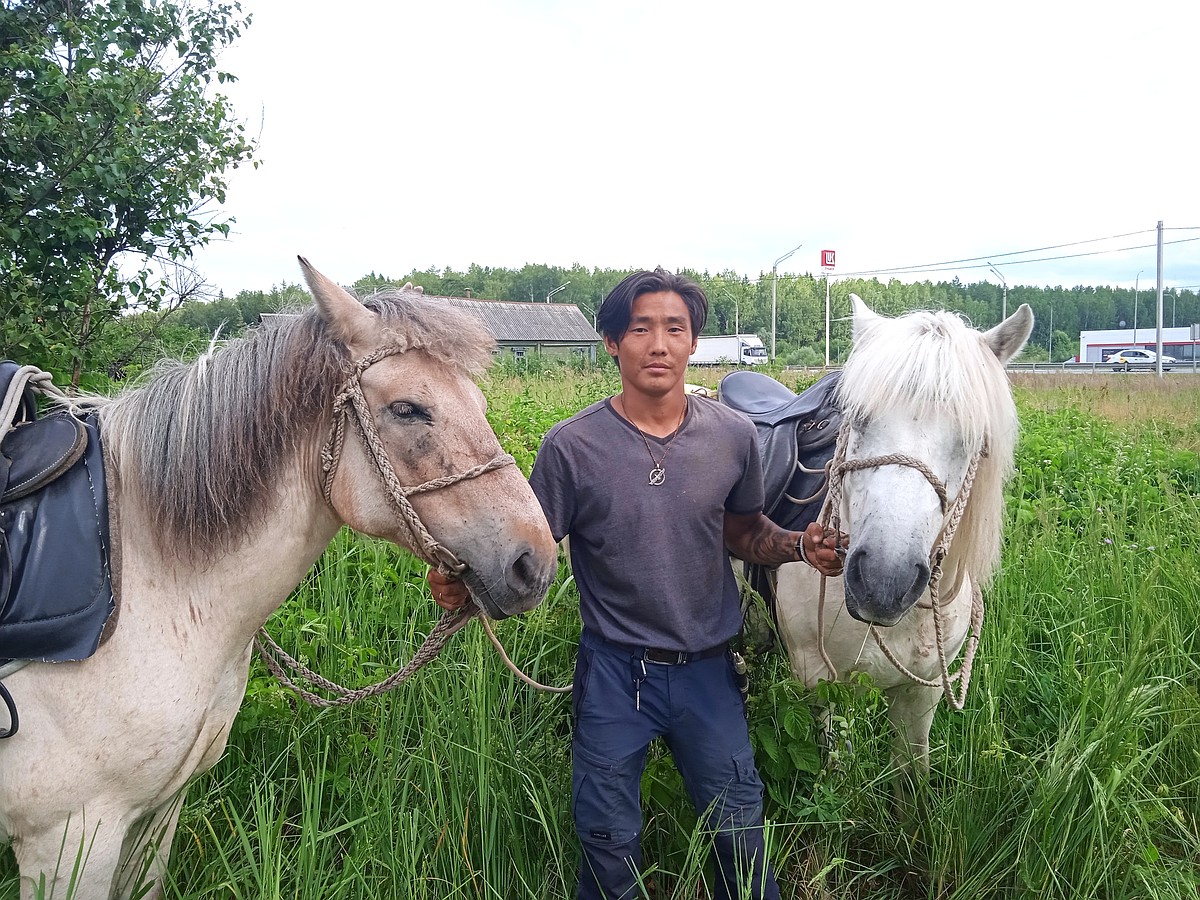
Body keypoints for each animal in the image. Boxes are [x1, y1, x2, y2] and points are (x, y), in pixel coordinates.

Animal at [777, 296, 1032, 782]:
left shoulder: (923, 692)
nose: (883, 581)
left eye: (973, 438)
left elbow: (912, 775)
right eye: (856, 418)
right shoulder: (817, 681)